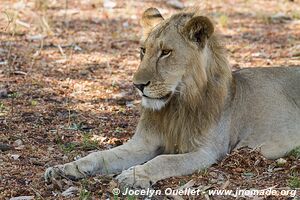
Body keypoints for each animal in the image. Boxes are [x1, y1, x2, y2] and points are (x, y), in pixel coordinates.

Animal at [44, 8, 300, 189]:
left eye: (165, 52)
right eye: (143, 50)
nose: (137, 85)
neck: (176, 105)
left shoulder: (208, 151)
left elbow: (165, 160)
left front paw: (136, 174)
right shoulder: (143, 143)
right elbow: (101, 155)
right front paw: (66, 168)